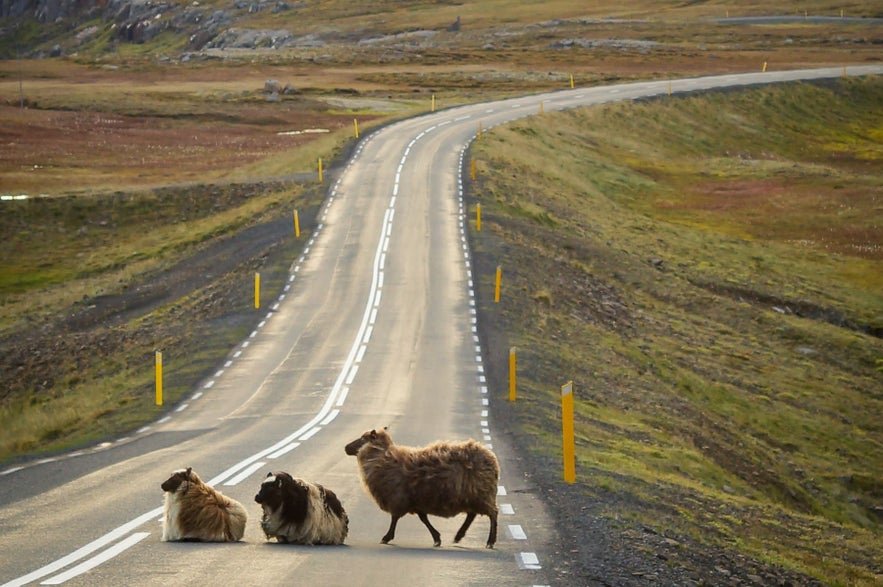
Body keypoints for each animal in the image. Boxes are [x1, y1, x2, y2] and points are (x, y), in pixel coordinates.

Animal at [344, 428, 500, 548]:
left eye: (363, 438)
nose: (346, 447)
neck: (381, 458)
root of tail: (491, 458)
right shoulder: (414, 500)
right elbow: (423, 518)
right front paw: (437, 538)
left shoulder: (399, 498)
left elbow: (395, 518)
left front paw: (386, 537)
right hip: (472, 495)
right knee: (472, 514)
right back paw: (458, 536)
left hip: (482, 493)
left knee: (493, 514)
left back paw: (490, 542)